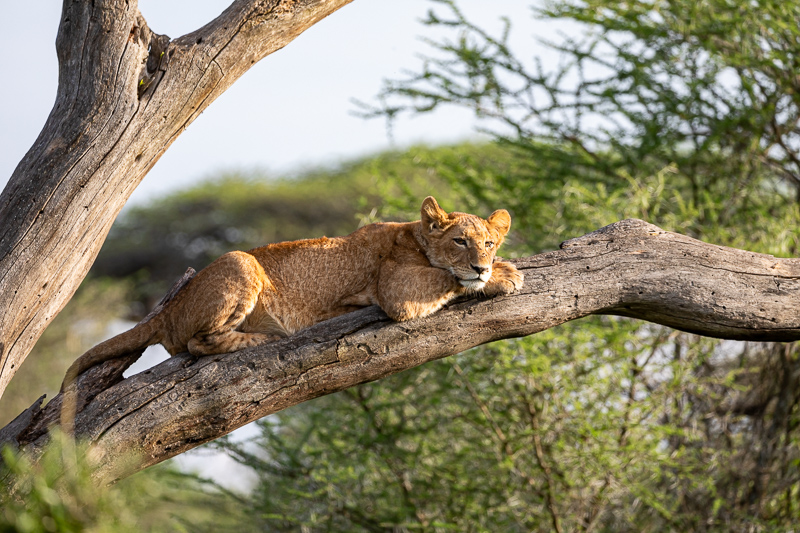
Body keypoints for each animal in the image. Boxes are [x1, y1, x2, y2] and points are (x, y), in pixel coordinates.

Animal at [61, 196, 523, 391]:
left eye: (489, 243)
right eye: (461, 242)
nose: (482, 264)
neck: (414, 237)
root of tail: (167, 308)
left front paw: (501, 269)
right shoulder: (395, 289)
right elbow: (447, 280)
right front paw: (500, 278)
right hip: (240, 262)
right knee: (196, 343)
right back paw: (261, 338)